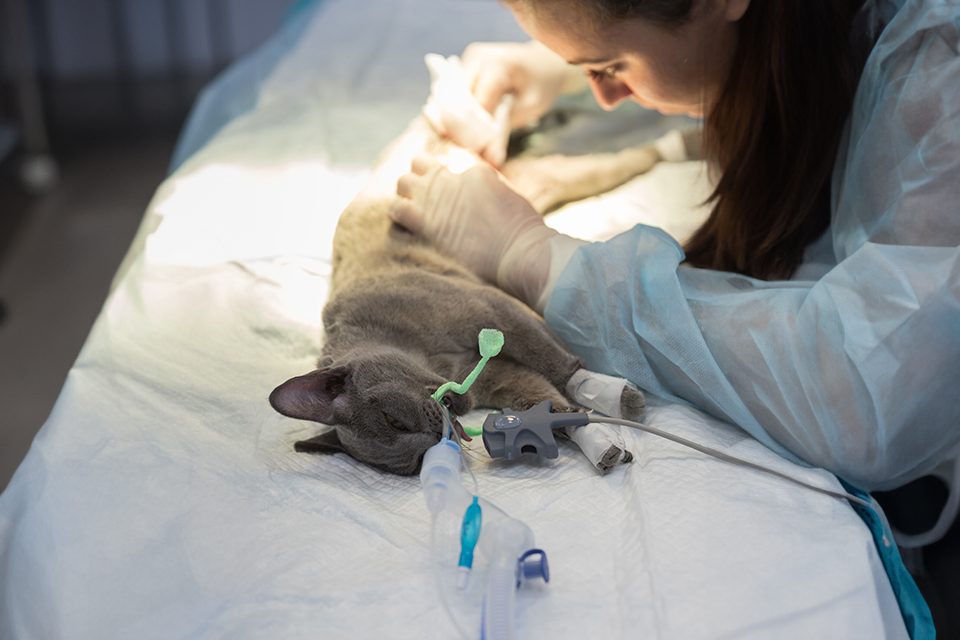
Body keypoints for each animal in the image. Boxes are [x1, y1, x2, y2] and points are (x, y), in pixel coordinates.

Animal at [266, 117, 648, 476]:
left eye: (394, 420)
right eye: (414, 465)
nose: (439, 437)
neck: (433, 360)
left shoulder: (491, 309)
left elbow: (558, 365)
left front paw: (612, 395)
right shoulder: (504, 378)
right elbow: (554, 409)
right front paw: (601, 444)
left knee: (614, 162)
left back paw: (659, 148)